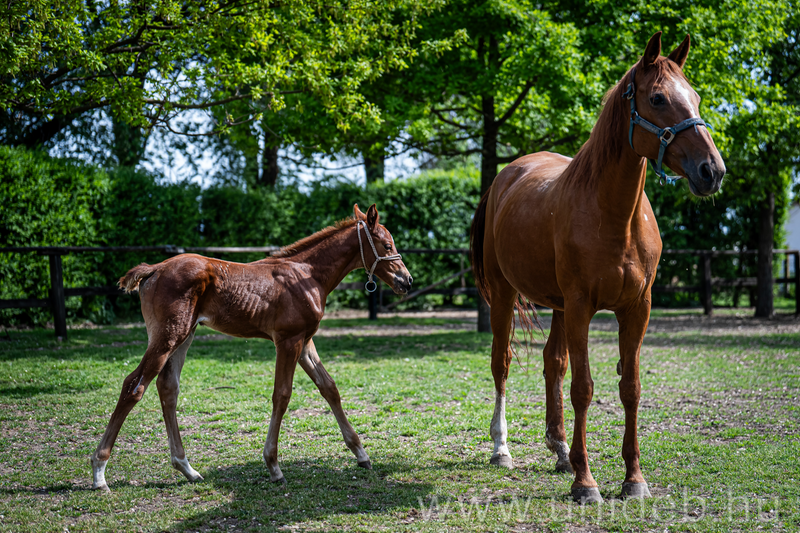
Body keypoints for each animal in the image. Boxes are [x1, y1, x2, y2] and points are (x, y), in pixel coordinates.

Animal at [90, 204, 413, 491]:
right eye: (386, 244)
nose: (407, 280)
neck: (307, 274)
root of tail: (154, 268)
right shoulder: (288, 340)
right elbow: (281, 395)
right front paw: (273, 466)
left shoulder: (305, 340)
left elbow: (329, 388)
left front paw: (361, 454)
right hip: (168, 337)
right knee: (134, 385)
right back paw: (99, 472)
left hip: (184, 336)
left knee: (167, 388)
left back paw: (187, 468)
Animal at [469, 32, 725, 504]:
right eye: (658, 98)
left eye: (696, 97)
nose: (711, 171)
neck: (614, 216)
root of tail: (504, 178)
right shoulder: (582, 307)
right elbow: (583, 389)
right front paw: (586, 483)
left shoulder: (636, 309)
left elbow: (630, 388)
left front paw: (633, 478)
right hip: (506, 295)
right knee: (502, 362)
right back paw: (502, 448)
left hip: (556, 305)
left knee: (552, 361)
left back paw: (559, 451)